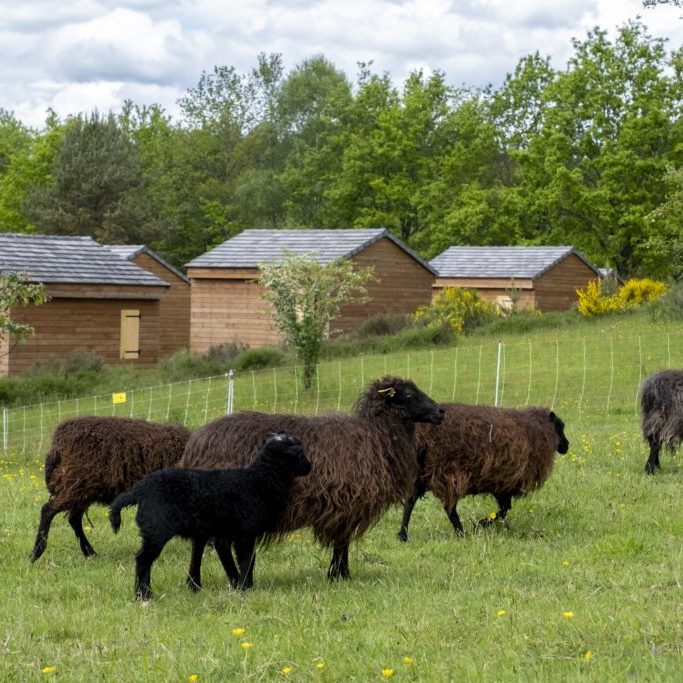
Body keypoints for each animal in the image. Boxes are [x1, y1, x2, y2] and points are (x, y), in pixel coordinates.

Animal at [29, 414, 190, 564]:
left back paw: (90, 553)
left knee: (73, 518)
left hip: (80, 488)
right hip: (76, 483)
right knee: (48, 510)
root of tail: (57, 443)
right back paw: (36, 553)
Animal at [110, 436, 312, 600]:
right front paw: (246, 588)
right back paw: (143, 595)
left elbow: (240, 561)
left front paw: (239, 585)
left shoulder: (226, 535)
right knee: (142, 560)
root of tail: (139, 490)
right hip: (156, 529)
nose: (310, 467)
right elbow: (247, 560)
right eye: (300, 454)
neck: (259, 480)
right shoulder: (245, 532)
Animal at [178, 376, 444, 580]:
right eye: (408, 395)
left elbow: (342, 543)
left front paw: (339, 574)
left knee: (204, 543)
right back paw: (230, 580)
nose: (441, 411)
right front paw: (340, 575)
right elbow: (342, 543)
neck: (376, 435)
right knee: (218, 544)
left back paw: (200, 582)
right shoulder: (347, 504)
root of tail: (195, 446)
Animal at [398, 404, 568, 544]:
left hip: (421, 473)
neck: (538, 429)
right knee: (449, 508)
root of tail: (422, 435)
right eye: (559, 426)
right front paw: (482, 523)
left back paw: (403, 534)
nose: (567, 446)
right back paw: (460, 532)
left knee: (410, 501)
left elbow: (505, 509)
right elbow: (504, 509)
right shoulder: (504, 483)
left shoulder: (501, 483)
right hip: (446, 472)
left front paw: (484, 523)